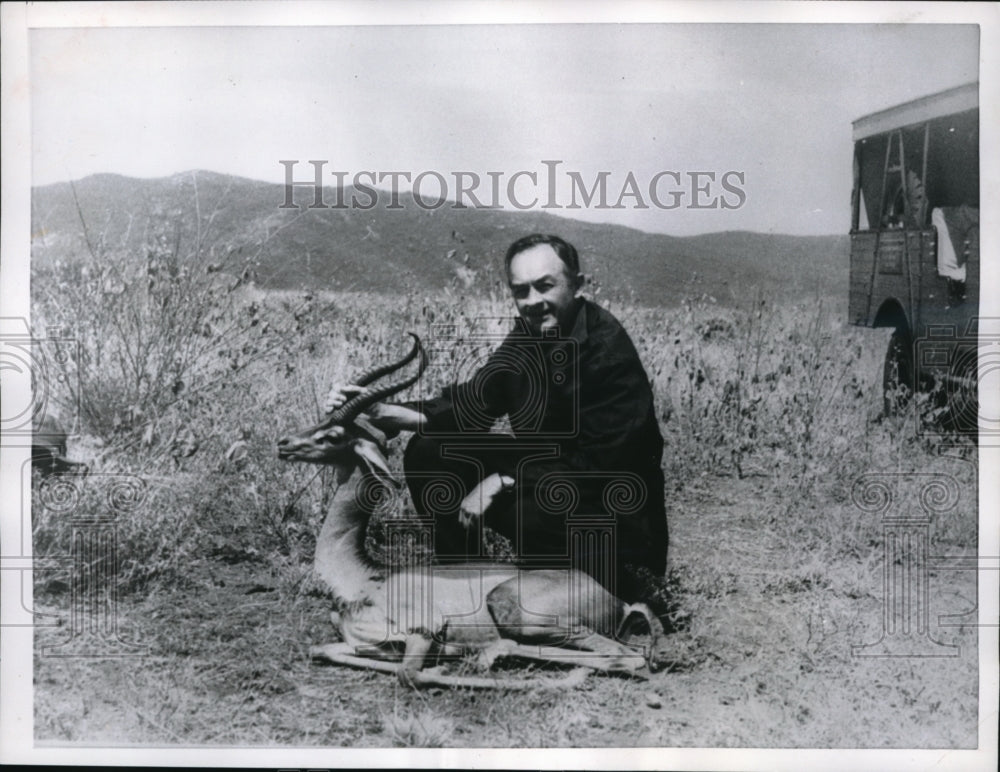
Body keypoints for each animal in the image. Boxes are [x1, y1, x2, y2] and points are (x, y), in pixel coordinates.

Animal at [276, 332, 664, 688]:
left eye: (332, 435)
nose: (284, 443)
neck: (364, 580)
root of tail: (617, 601)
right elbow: (321, 650)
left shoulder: (424, 629)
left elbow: (408, 673)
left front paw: (444, 667)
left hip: (519, 612)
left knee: (622, 658)